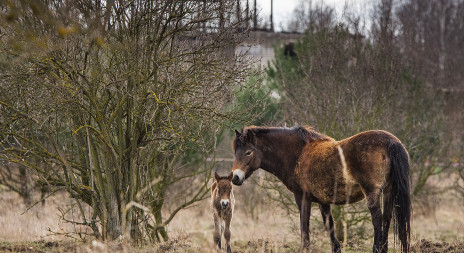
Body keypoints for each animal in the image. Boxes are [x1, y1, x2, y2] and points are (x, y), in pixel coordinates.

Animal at [231, 126, 410, 253]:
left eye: (248, 152)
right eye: (235, 152)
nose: (235, 178)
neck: (298, 154)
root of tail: (390, 142)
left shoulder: (302, 197)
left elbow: (304, 226)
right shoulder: (323, 201)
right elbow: (329, 226)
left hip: (372, 192)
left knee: (378, 220)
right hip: (389, 191)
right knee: (386, 219)